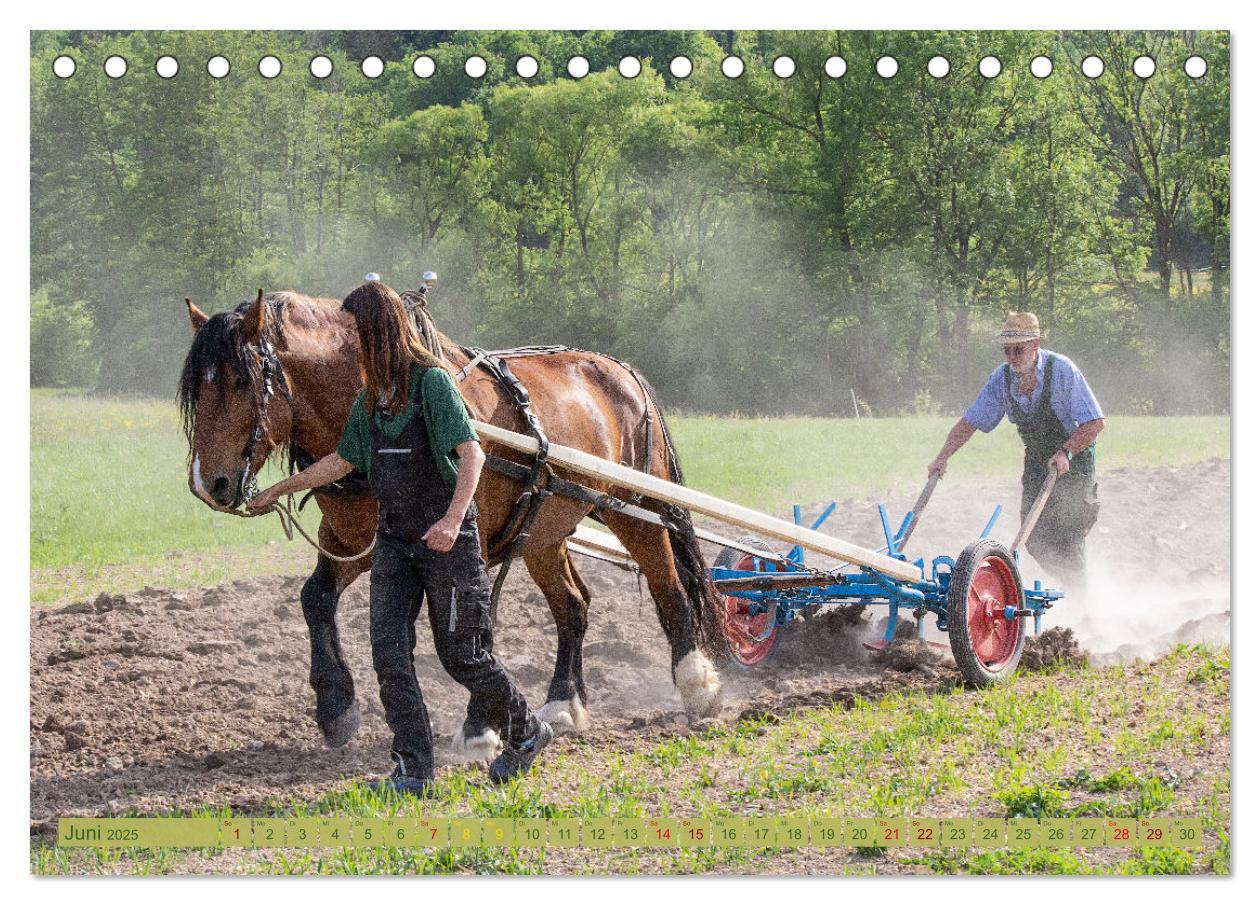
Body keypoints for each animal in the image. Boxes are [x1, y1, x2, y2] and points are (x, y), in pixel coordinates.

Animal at [178, 292, 730, 756]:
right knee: (573, 606)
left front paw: (479, 727)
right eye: (195, 390)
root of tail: (623, 371)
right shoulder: (355, 541)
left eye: (242, 380)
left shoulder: (468, 542)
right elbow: (315, 599)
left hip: (634, 506)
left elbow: (472, 627)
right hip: (545, 528)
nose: (209, 484)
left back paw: (696, 684)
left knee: (667, 586)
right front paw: (336, 709)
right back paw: (564, 702)